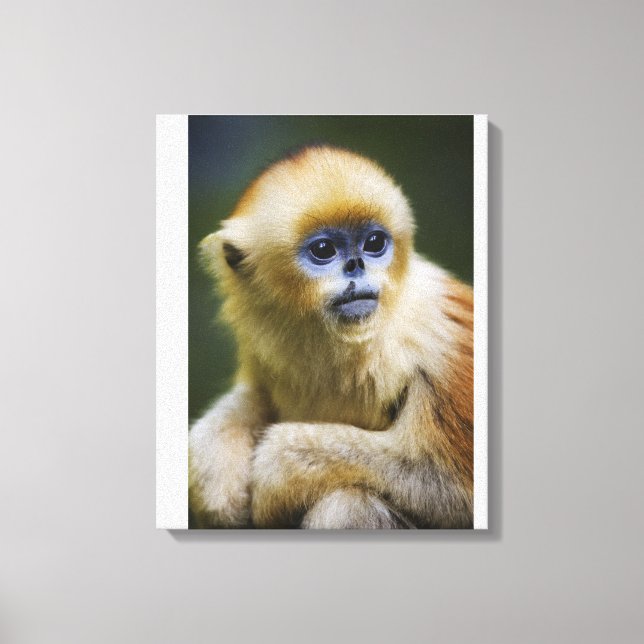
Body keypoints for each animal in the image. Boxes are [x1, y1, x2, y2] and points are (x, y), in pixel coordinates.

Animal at [189, 145, 473, 529]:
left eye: (374, 243)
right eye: (324, 250)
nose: (356, 264)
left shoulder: (436, 337)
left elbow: (450, 485)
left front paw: (279, 469)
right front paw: (217, 462)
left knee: (348, 503)